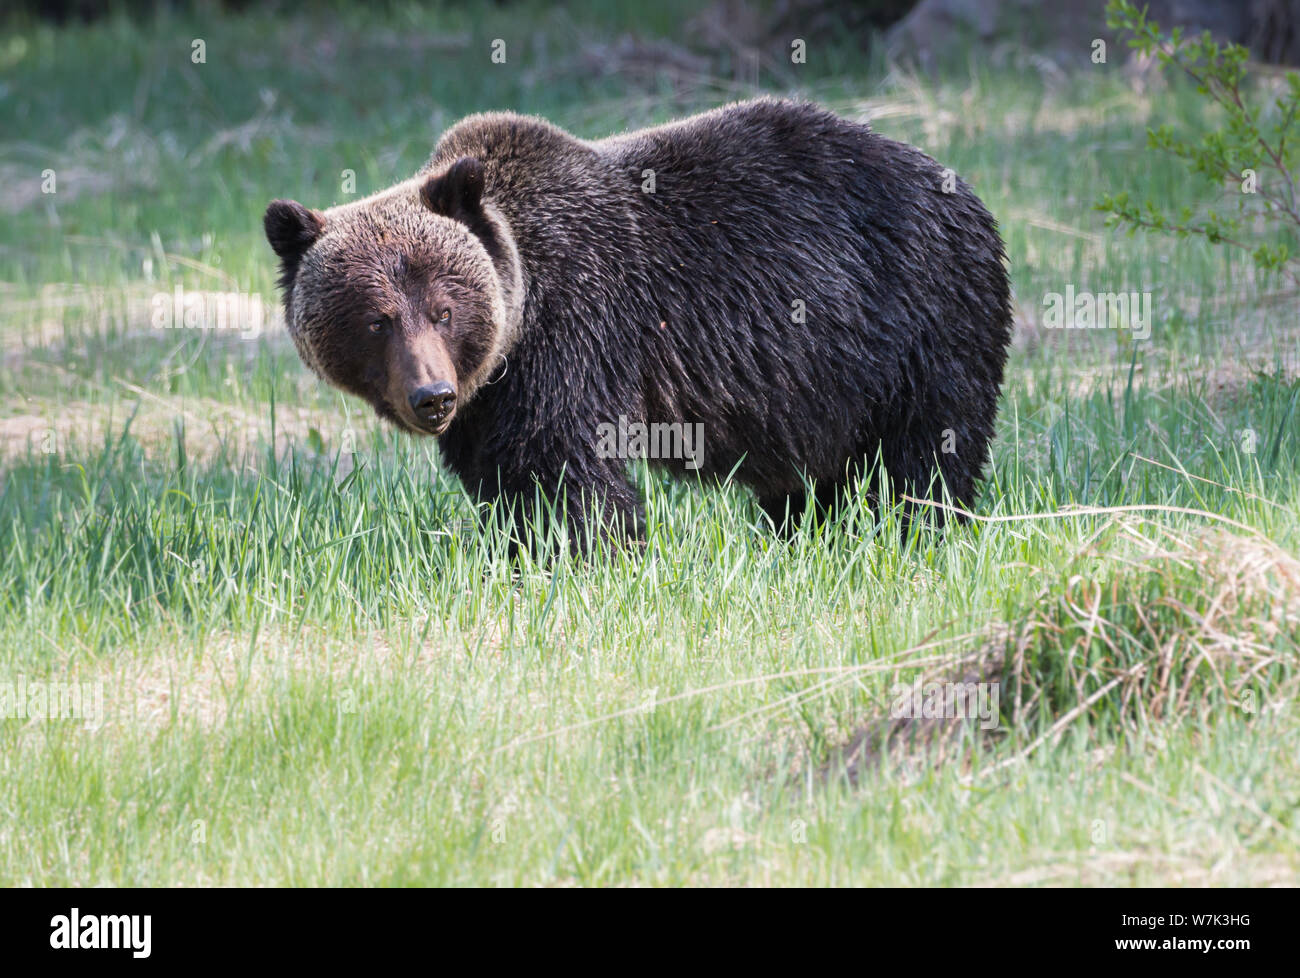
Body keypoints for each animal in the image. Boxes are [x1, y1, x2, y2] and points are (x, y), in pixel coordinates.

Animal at [263, 98, 1013, 551]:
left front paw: (581, 557)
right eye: (375, 321)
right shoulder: (489, 403)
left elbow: (566, 470)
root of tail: (962, 186)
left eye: (444, 309)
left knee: (928, 454)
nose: (432, 397)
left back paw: (914, 534)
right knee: (814, 477)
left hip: (921, 317)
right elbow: (502, 478)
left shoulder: (577, 331)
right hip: (828, 377)